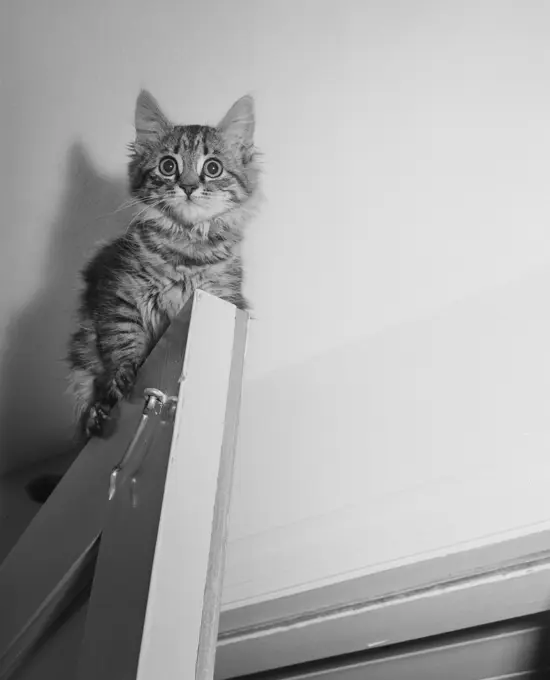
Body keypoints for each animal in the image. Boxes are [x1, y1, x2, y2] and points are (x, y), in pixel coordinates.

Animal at [66, 90, 260, 438]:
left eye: (212, 168)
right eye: (168, 166)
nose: (188, 186)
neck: (187, 249)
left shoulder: (223, 297)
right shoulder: (118, 290)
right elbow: (123, 337)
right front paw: (124, 373)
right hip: (82, 348)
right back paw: (96, 413)